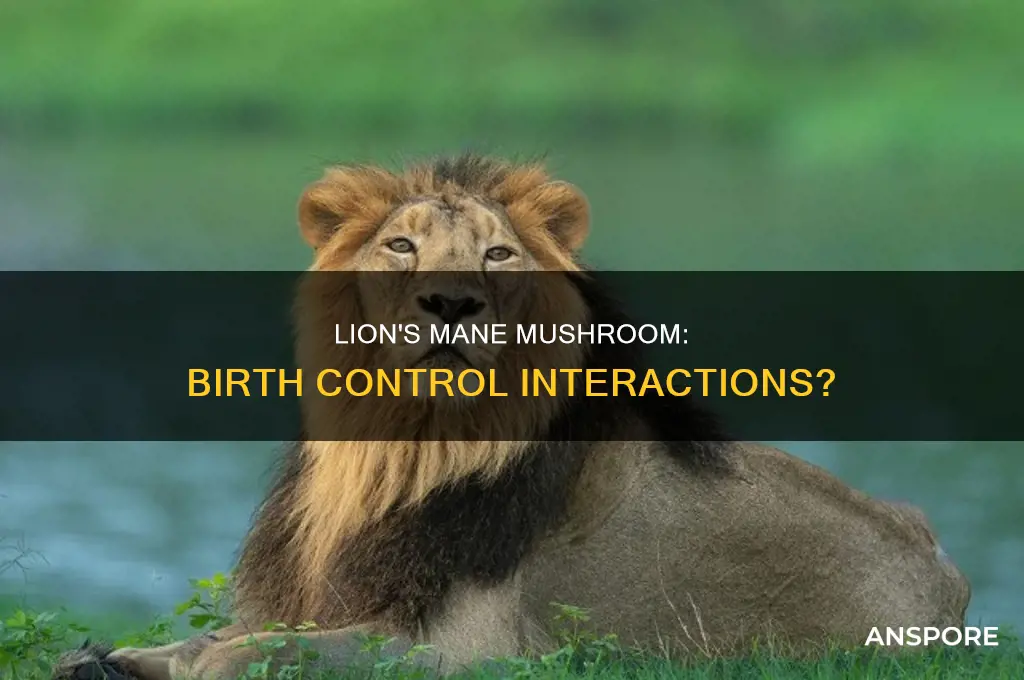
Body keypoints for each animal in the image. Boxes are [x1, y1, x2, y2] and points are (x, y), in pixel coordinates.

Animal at [54, 154, 971, 680]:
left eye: (497, 254)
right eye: (400, 246)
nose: (452, 302)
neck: (401, 446)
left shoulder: (465, 647)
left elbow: (259, 653)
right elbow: (206, 642)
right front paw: (101, 659)